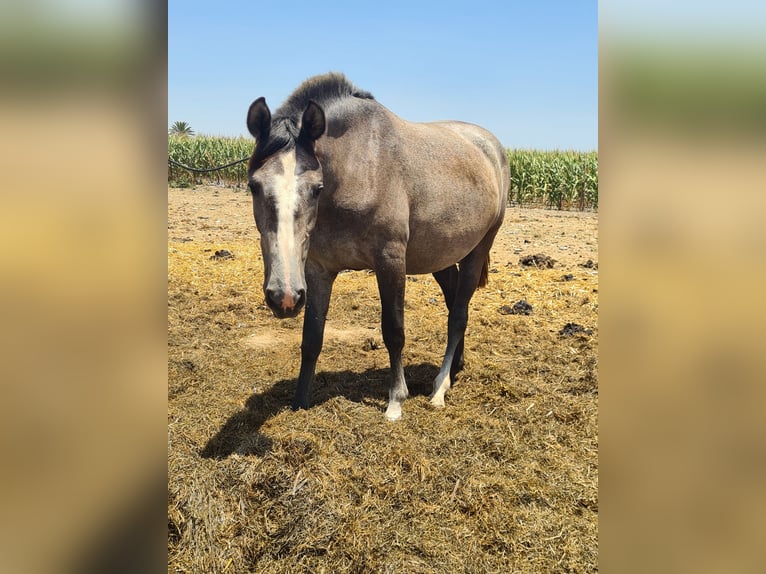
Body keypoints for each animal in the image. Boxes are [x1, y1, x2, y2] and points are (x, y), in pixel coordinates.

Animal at [248, 73, 510, 424]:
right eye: (254, 186)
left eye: (317, 188)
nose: (284, 297)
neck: (359, 168)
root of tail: (490, 146)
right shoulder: (317, 270)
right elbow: (312, 337)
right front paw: (300, 402)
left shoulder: (390, 262)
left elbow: (393, 330)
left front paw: (395, 401)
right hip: (440, 256)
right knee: (455, 303)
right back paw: (455, 367)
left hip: (478, 249)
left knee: (457, 315)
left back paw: (440, 388)